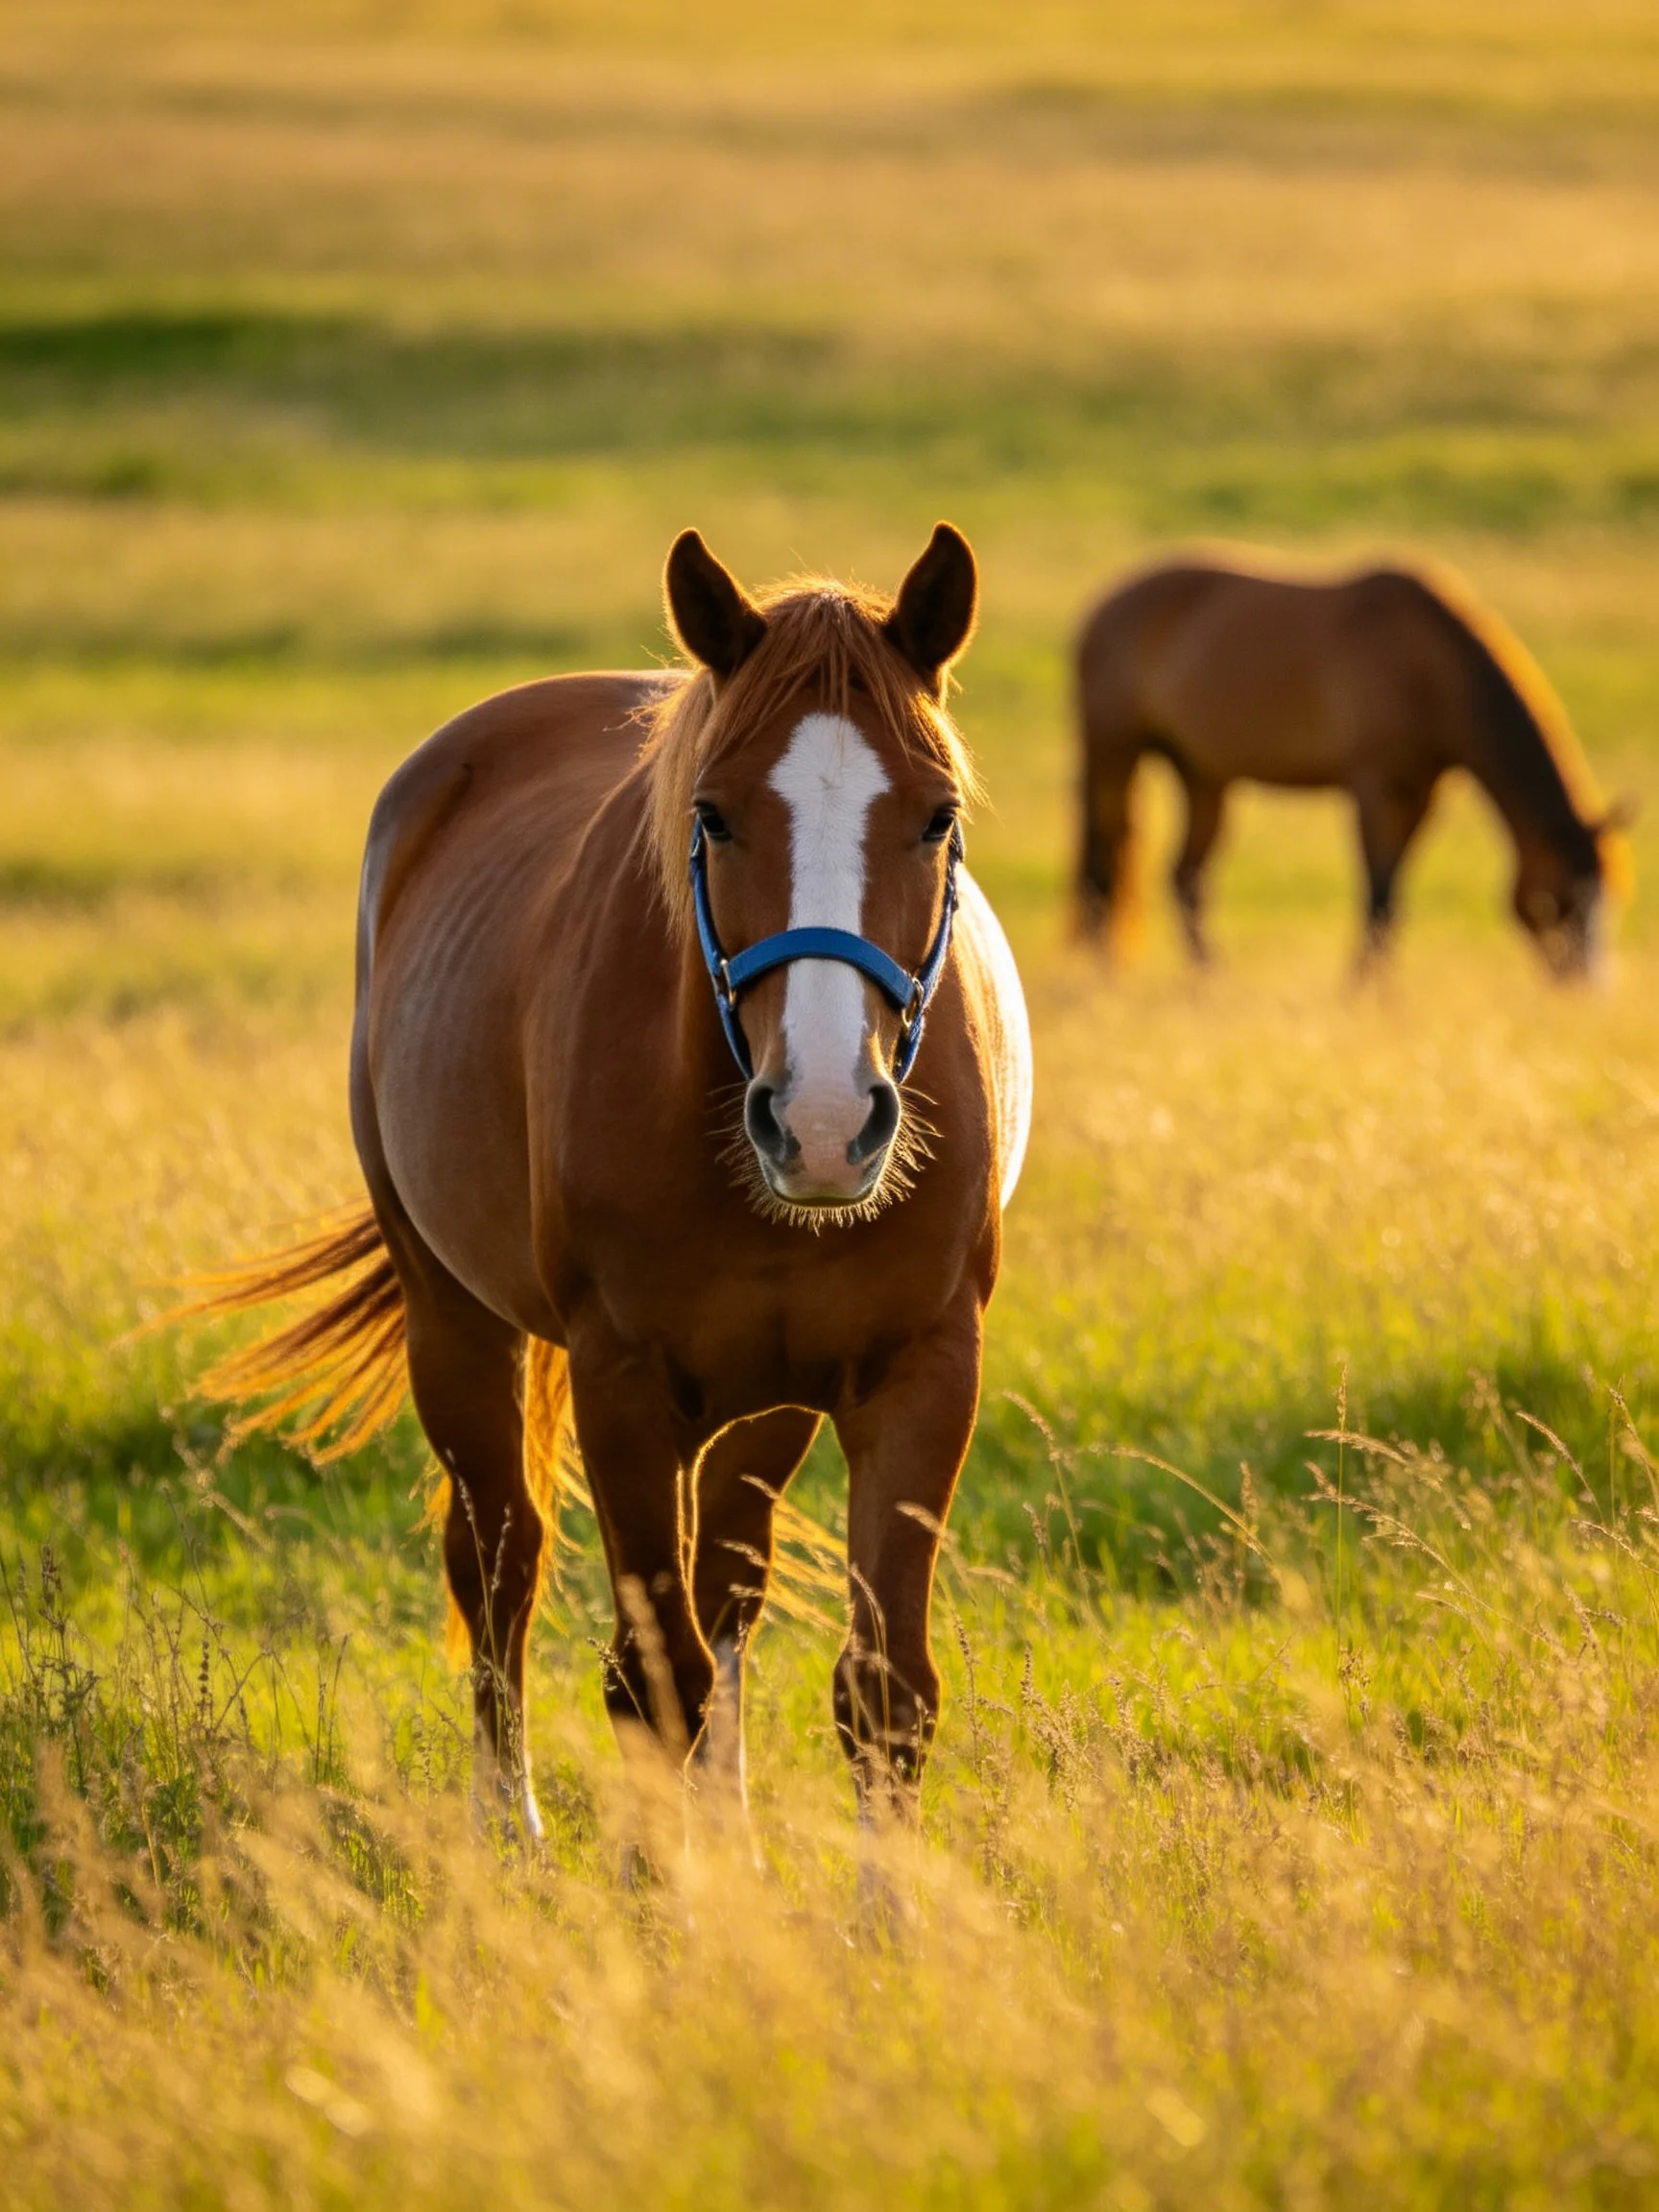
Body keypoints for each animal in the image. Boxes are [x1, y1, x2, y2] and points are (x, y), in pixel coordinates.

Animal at [197, 523, 1032, 1845]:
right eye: (716, 817)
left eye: (937, 815)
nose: (825, 1123)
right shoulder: (623, 1386)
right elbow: (651, 1676)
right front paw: (660, 1890)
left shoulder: (919, 1374)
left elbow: (882, 1688)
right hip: (455, 1321)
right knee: (501, 1559)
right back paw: (510, 1831)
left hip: (771, 1397)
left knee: (727, 1580)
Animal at [1074, 555, 1632, 975]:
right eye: (1558, 897)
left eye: (1611, 894)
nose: (1587, 986)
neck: (1430, 667)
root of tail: (1104, 607)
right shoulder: (1375, 789)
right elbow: (1378, 895)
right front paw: (1366, 996)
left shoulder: (1421, 795)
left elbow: (1392, 897)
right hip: (1113, 755)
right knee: (1105, 865)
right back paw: (1109, 975)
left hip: (1203, 774)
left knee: (1186, 878)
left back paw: (1208, 980)